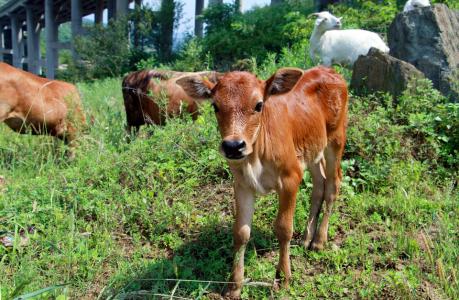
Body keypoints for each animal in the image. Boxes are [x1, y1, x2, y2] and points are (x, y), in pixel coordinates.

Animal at [177, 66, 348, 298]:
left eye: (258, 105)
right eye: (215, 106)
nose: (233, 146)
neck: (255, 157)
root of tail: (329, 70)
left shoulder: (291, 177)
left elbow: (283, 228)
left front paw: (283, 278)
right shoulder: (242, 184)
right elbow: (240, 233)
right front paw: (234, 285)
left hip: (336, 139)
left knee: (332, 184)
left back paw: (319, 240)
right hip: (312, 150)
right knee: (319, 183)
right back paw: (307, 237)